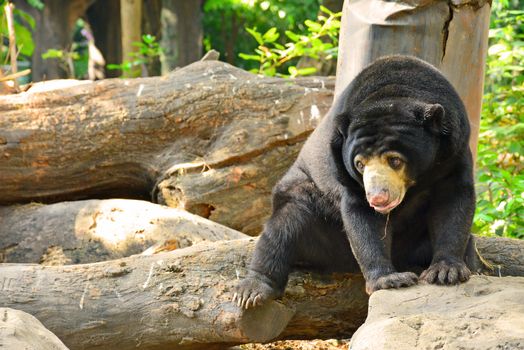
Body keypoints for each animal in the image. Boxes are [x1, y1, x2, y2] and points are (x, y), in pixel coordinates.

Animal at [233, 55, 478, 308]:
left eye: (395, 160)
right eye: (360, 163)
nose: (378, 197)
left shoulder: (454, 151)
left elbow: (452, 203)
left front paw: (446, 271)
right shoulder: (342, 169)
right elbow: (361, 215)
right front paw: (390, 279)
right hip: (309, 203)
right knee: (284, 226)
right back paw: (252, 291)